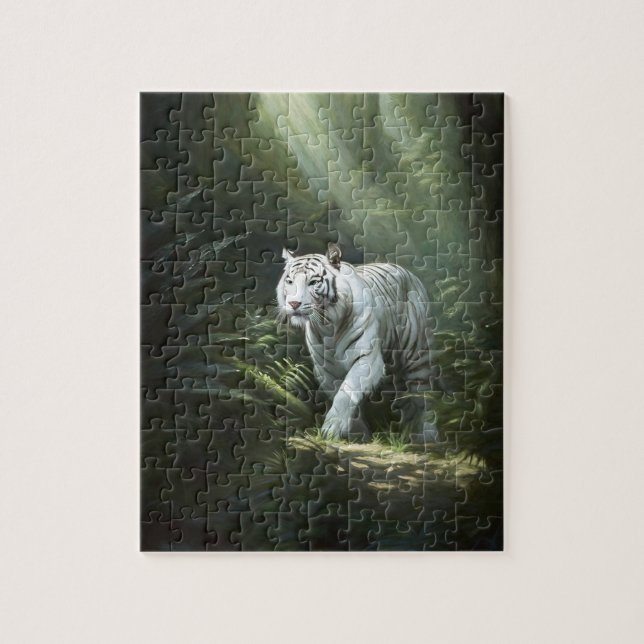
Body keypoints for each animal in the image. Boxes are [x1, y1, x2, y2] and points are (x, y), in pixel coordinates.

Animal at [277, 242, 435, 440]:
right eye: (290, 282)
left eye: (313, 282)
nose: (294, 304)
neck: (327, 326)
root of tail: (407, 271)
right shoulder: (326, 370)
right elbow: (343, 396)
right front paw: (358, 434)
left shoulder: (367, 359)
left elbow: (347, 392)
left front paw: (332, 428)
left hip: (417, 359)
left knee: (423, 397)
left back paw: (427, 436)